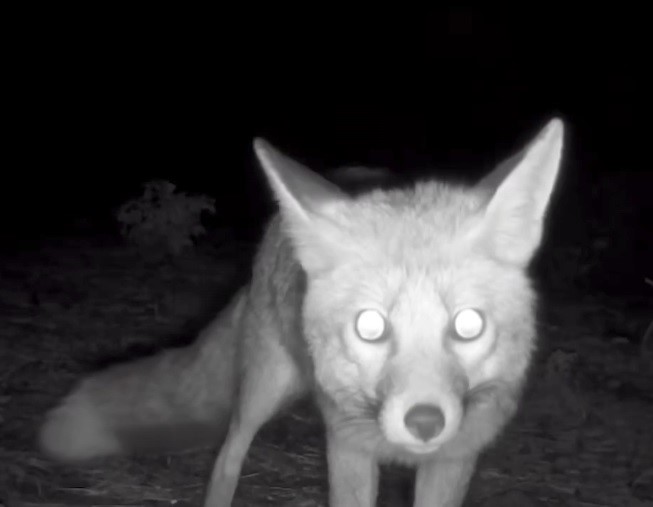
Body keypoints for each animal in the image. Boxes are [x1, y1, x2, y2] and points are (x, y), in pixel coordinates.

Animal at [38, 116, 564, 507]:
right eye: (370, 326)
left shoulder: (455, 459)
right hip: (262, 390)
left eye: (468, 324)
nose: (425, 422)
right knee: (227, 457)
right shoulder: (347, 446)